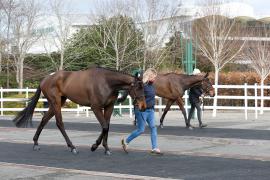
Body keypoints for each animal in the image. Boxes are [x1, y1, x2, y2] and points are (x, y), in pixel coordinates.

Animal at [13, 67, 147, 155]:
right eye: (138, 88)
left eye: (143, 87)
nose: (143, 106)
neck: (106, 82)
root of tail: (45, 79)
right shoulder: (96, 107)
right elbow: (104, 126)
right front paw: (94, 146)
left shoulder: (109, 107)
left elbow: (107, 126)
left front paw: (106, 148)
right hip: (56, 102)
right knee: (59, 123)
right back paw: (72, 147)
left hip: (58, 102)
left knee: (44, 120)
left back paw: (36, 143)